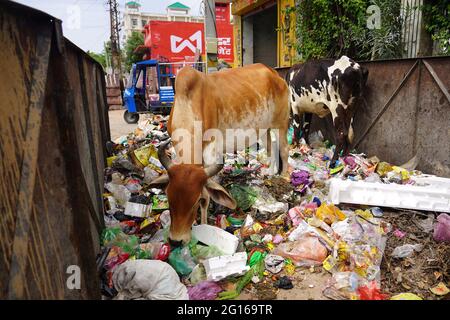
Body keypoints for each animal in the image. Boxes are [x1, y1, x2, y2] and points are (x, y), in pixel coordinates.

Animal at [150, 63, 288, 246]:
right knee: (271, 147)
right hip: (263, 128)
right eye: (168, 197)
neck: (188, 104)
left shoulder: (210, 153)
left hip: (281, 123)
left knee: (284, 149)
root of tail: (274, 74)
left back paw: (285, 175)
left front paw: (204, 225)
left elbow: (208, 195)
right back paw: (270, 172)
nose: (175, 241)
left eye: (195, 202)